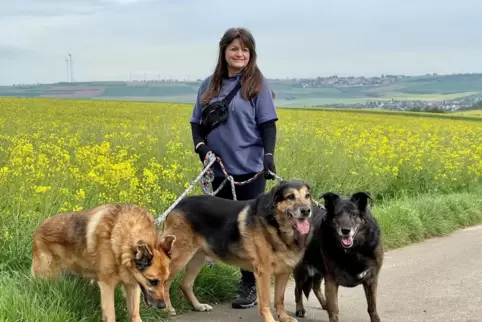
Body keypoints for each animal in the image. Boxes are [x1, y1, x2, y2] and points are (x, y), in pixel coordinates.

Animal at [31, 204, 176, 322]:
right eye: (153, 281)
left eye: (165, 281)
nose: (162, 306)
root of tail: (39, 228)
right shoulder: (107, 286)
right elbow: (111, 315)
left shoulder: (132, 285)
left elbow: (135, 314)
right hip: (48, 278)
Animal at [160, 180, 314, 322]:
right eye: (290, 197)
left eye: (307, 196)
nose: (306, 211)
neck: (277, 225)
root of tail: (177, 205)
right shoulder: (264, 272)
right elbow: (265, 303)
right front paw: (270, 320)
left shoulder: (284, 272)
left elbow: (279, 300)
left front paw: (283, 317)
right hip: (181, 257)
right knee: (165, 282)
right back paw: (168, 309)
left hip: (198, 257)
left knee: (185, 284)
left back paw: (198, 306)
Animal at [294, 191, 384, 322]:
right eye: (337, 215)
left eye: (353, 214)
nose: (345, 230)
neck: (353, 251)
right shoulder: (331, 281)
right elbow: (334, 311)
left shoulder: (371, 279)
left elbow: (372, 307)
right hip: (301, 270)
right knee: (297, 290)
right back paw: (300, 309)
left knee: (315, 287)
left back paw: (325, 304)